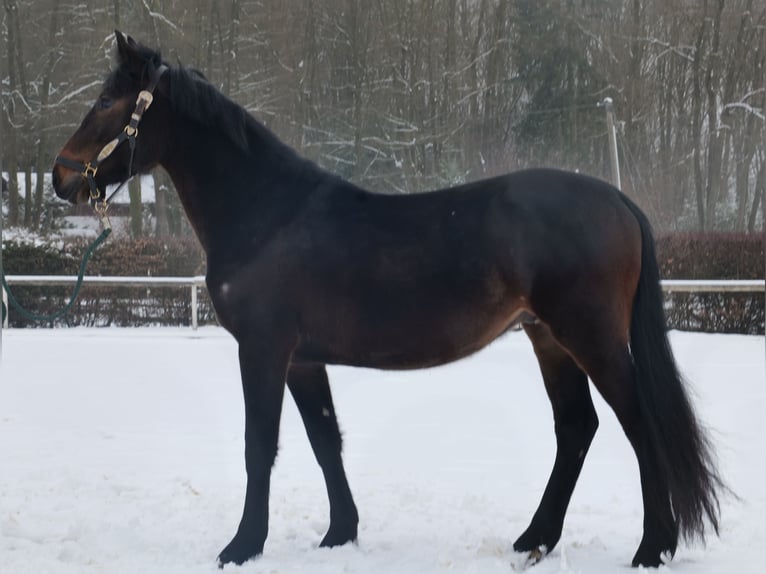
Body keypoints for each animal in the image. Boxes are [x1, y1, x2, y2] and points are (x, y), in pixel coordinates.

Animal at [52, 32, 724, 569]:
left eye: (107, 103)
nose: (60, 177)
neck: (267, 213)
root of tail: (620, 201)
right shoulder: (303, 359)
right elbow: (325, 440)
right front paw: (339, 535)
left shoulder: (264, 350)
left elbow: (259, 445)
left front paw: (241, 547)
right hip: (549, 338)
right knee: (576, 427)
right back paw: (536, 538)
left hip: (591, 337)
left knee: (637, 425)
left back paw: (652, 548)